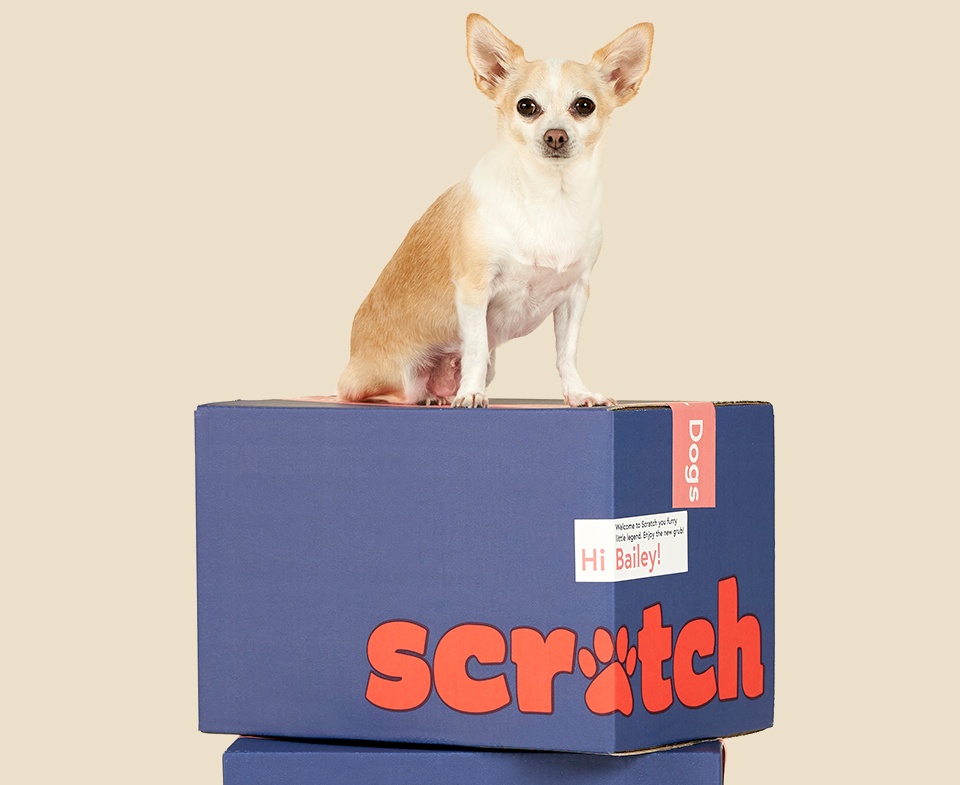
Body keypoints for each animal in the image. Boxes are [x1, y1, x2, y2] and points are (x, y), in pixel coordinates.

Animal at [338, 15, 652, 408]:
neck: (550, 197)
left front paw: (577, 393)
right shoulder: (474, 289)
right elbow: (475, 348)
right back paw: (430, 397)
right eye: (526, 107)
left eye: (584, 106)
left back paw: (441, 395)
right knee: (376, 394)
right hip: (392, 380)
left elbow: (566, 353)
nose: (555, 135)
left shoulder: (575, 294)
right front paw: (471, 393)